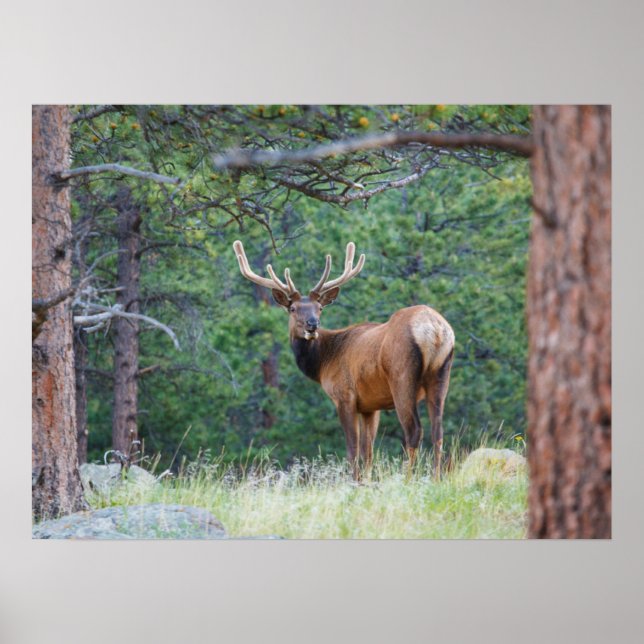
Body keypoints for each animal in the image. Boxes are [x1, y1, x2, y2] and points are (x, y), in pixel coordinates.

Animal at [232, 240, 455, 480]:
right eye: (293, 308)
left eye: (319, 308)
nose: (312, 324)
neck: (323, 363)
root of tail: (435, 330)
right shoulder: (370, 405)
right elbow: (368, 451)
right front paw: (366, 481)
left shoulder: (344, 395)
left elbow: (352, 449)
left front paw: (354, 481)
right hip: (441, 374)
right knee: (438, 431)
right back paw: (436, 478)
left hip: (402, 376)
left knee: (414, 430)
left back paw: (407, 480)